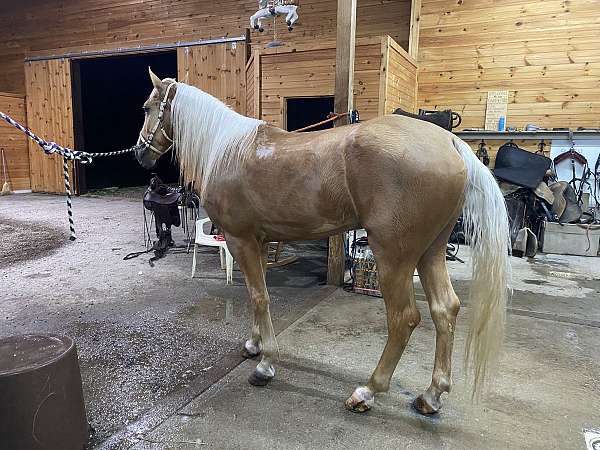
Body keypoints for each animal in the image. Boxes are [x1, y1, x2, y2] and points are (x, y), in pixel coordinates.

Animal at [137, 68, 510, 416]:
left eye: (147, 108)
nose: (141, 154)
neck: (227, 149)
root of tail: (450, 143)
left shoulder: (240, 240)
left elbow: (259, 297)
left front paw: (265, 364)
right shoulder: (257, 242)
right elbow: (257, 295)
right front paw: (254, 345)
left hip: (394, 257)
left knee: (403, 318)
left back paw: (367, 391)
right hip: (431, 251)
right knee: (445, 309)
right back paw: (431, 396)